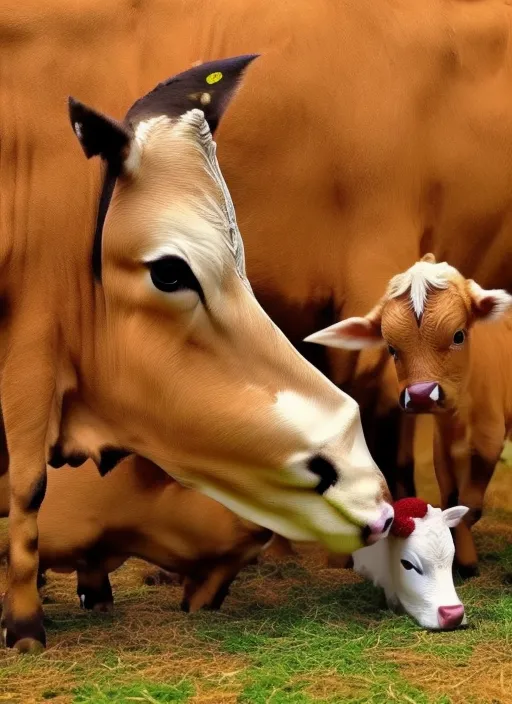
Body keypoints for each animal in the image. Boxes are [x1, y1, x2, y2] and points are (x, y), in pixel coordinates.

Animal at [306, 256, 512, 576]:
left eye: (458, 335)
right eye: (391, 348)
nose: (420, 394)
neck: (460, 418)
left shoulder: (489, 437)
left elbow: (471, 504)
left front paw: (467, 564)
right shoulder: (443, 444)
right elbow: (451, 496)